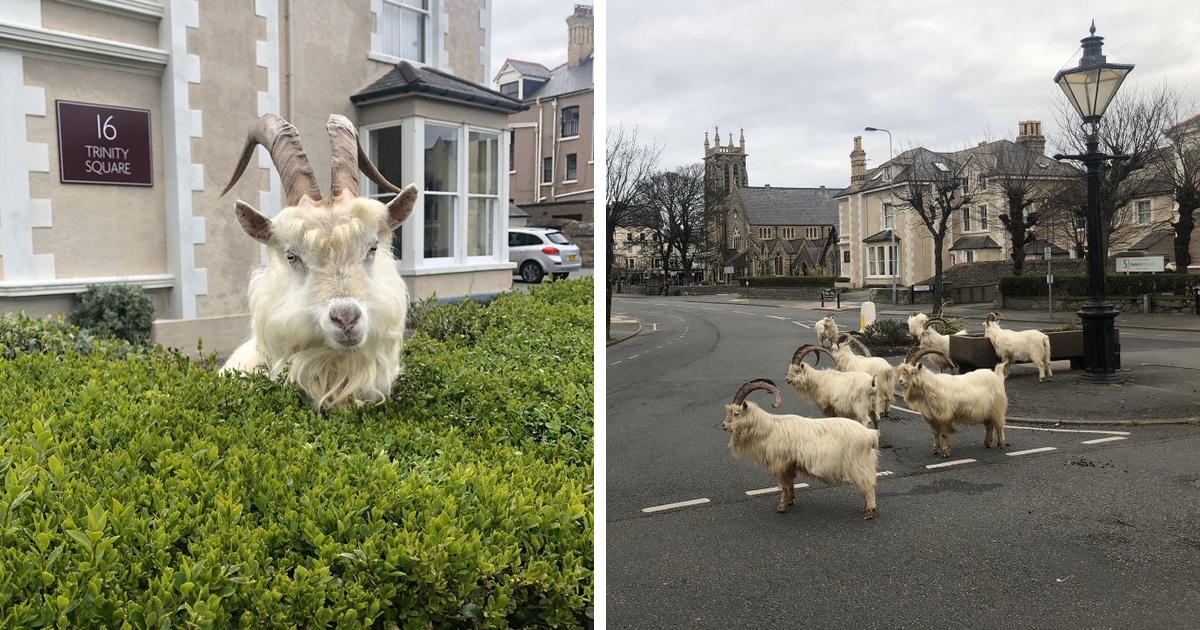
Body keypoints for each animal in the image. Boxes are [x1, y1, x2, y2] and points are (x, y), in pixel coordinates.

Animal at [720, 379, 883, 516]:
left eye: (736, 413)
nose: (723, 425)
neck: (769, 429)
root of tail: (870, 435)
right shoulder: (790, 464)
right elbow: (790, 484)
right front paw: (790, 500)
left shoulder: (781, 463)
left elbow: (784, 486)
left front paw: (781, 507)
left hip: (858, 464)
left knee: (869, 485)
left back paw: (869, 511)